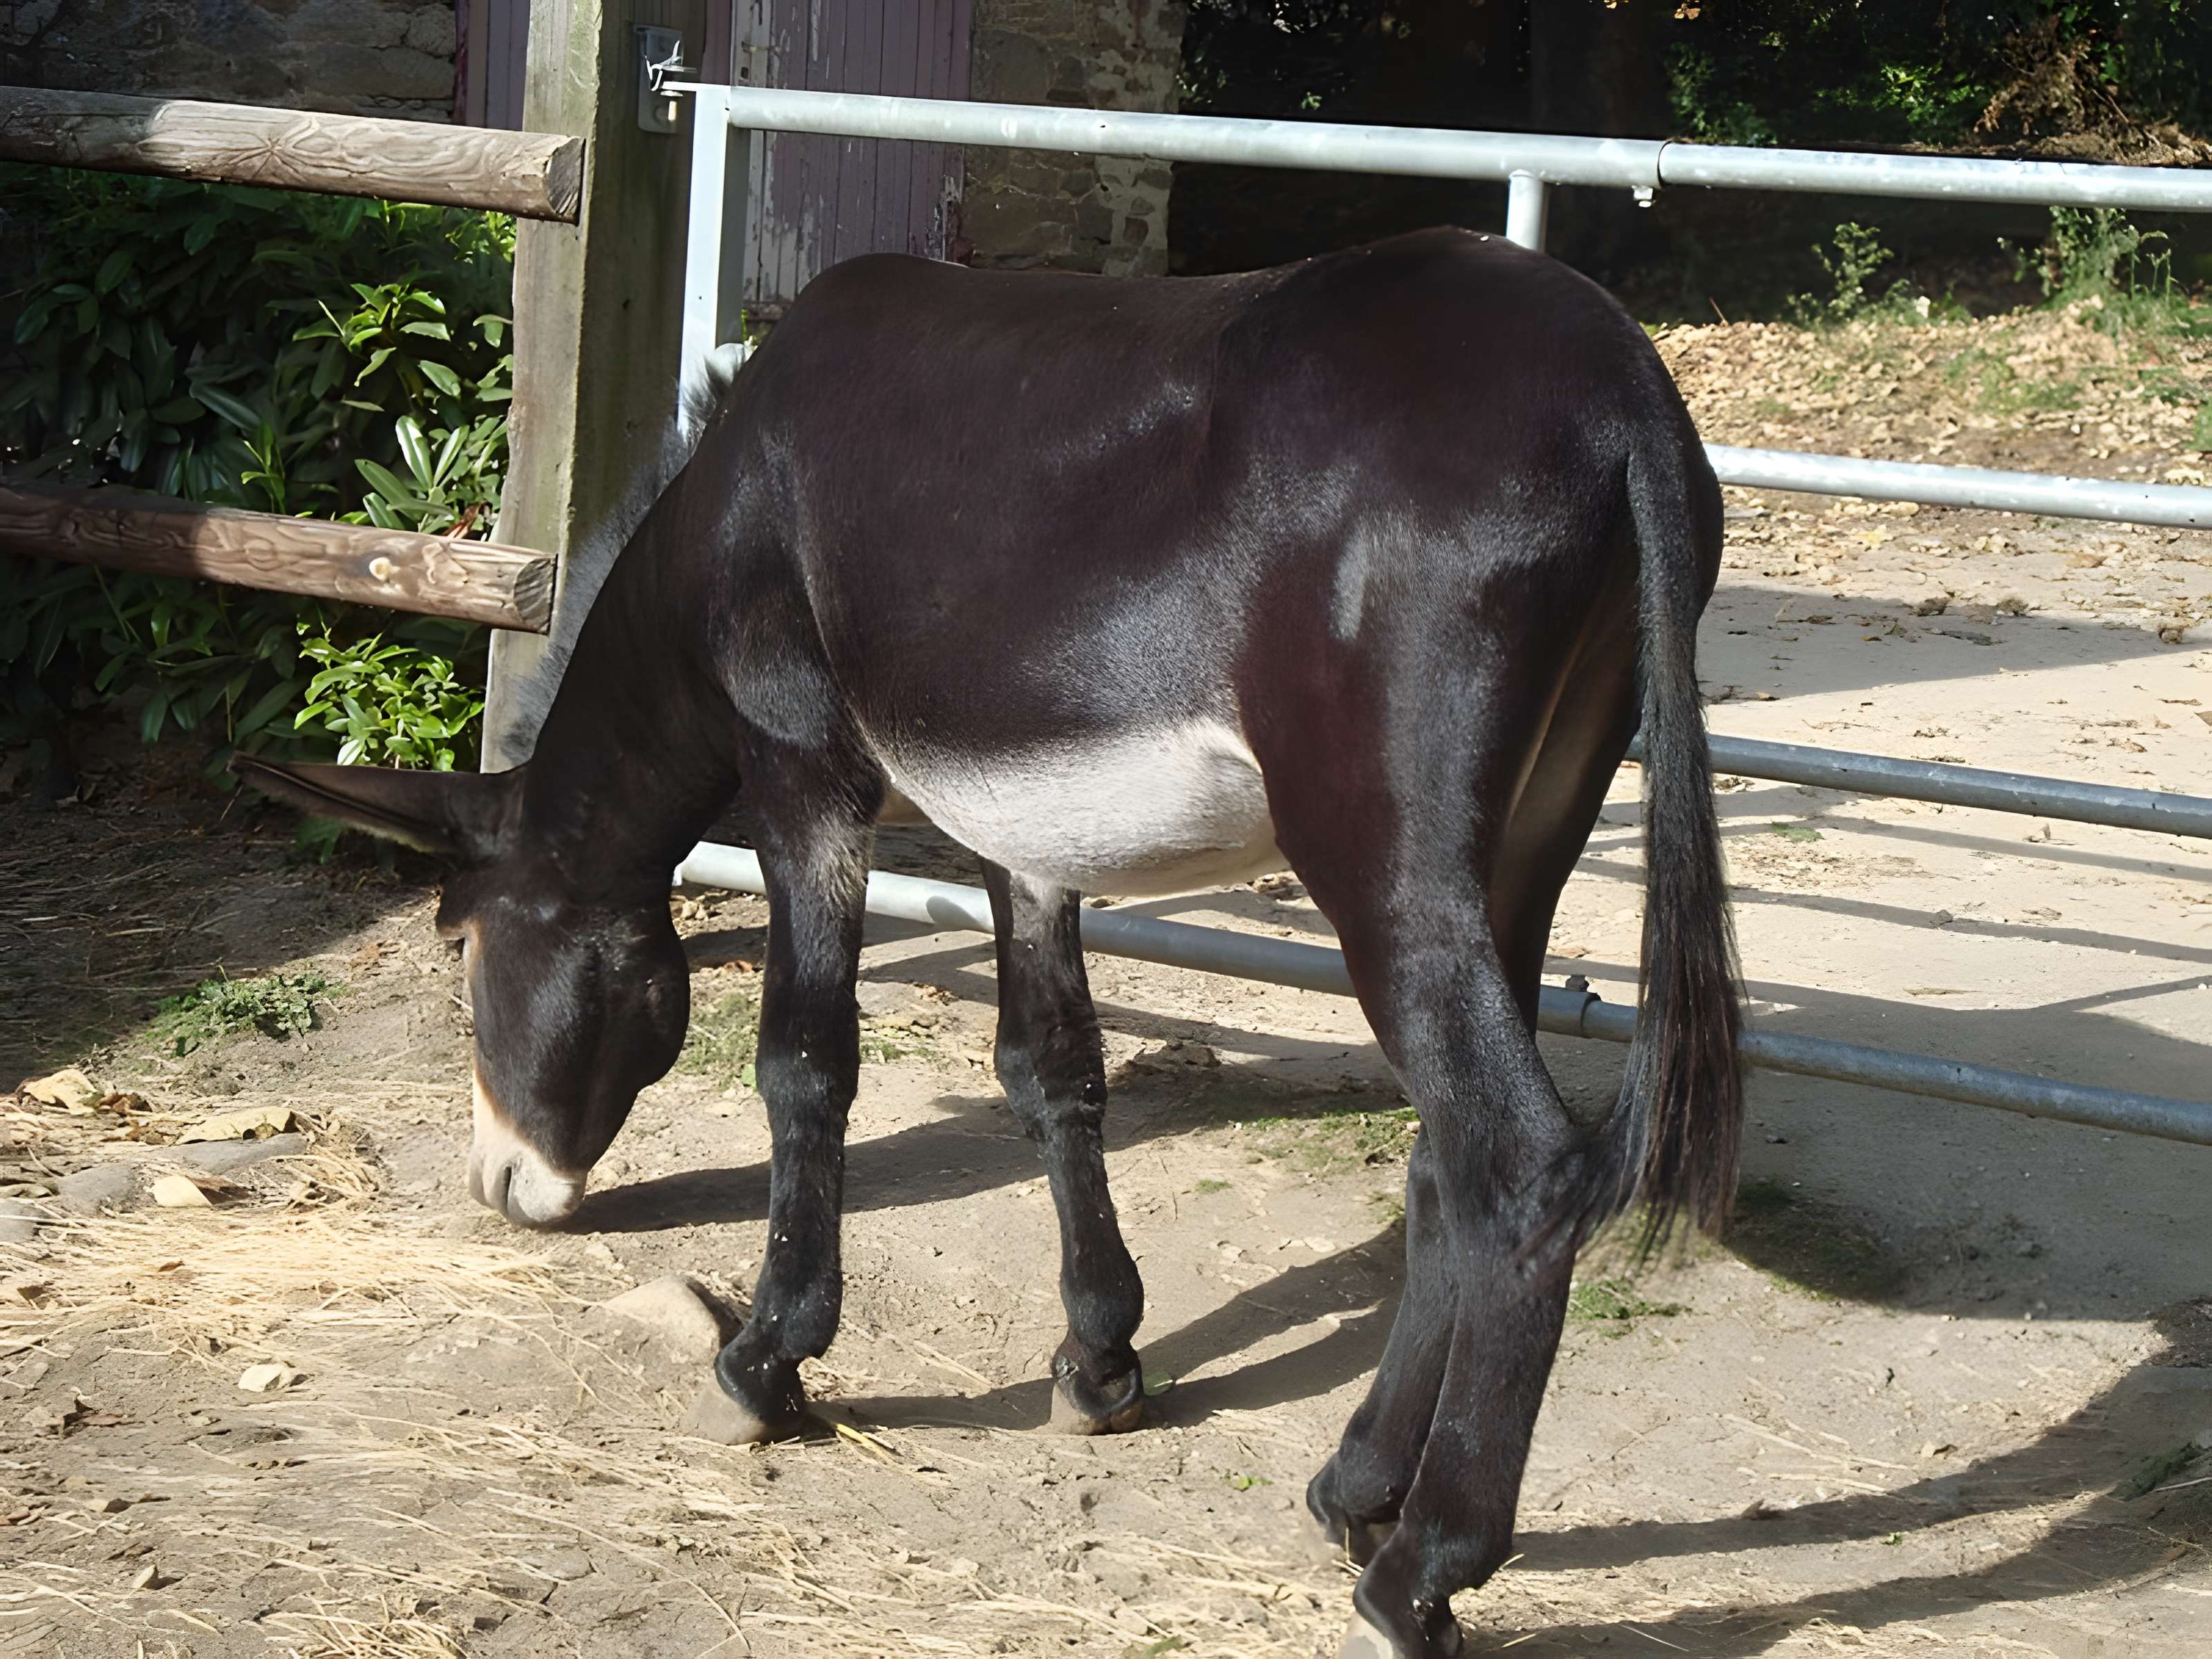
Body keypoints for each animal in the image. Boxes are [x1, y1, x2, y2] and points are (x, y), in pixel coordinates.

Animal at [234, 225, 1742, 1659]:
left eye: (465, 950)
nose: (498, 1185)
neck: (729, 504)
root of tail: (1618, 388)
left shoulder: (801, 771)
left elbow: (804, 1063)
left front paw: (768, 1365)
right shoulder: (1024, 833)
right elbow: (1049, 1069)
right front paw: (1097, 1364)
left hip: (1385, 859)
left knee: (1521, 1165)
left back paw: (1418, 1574)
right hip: (1531, 837)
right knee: (1446, 1158)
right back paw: (1355, 1487)